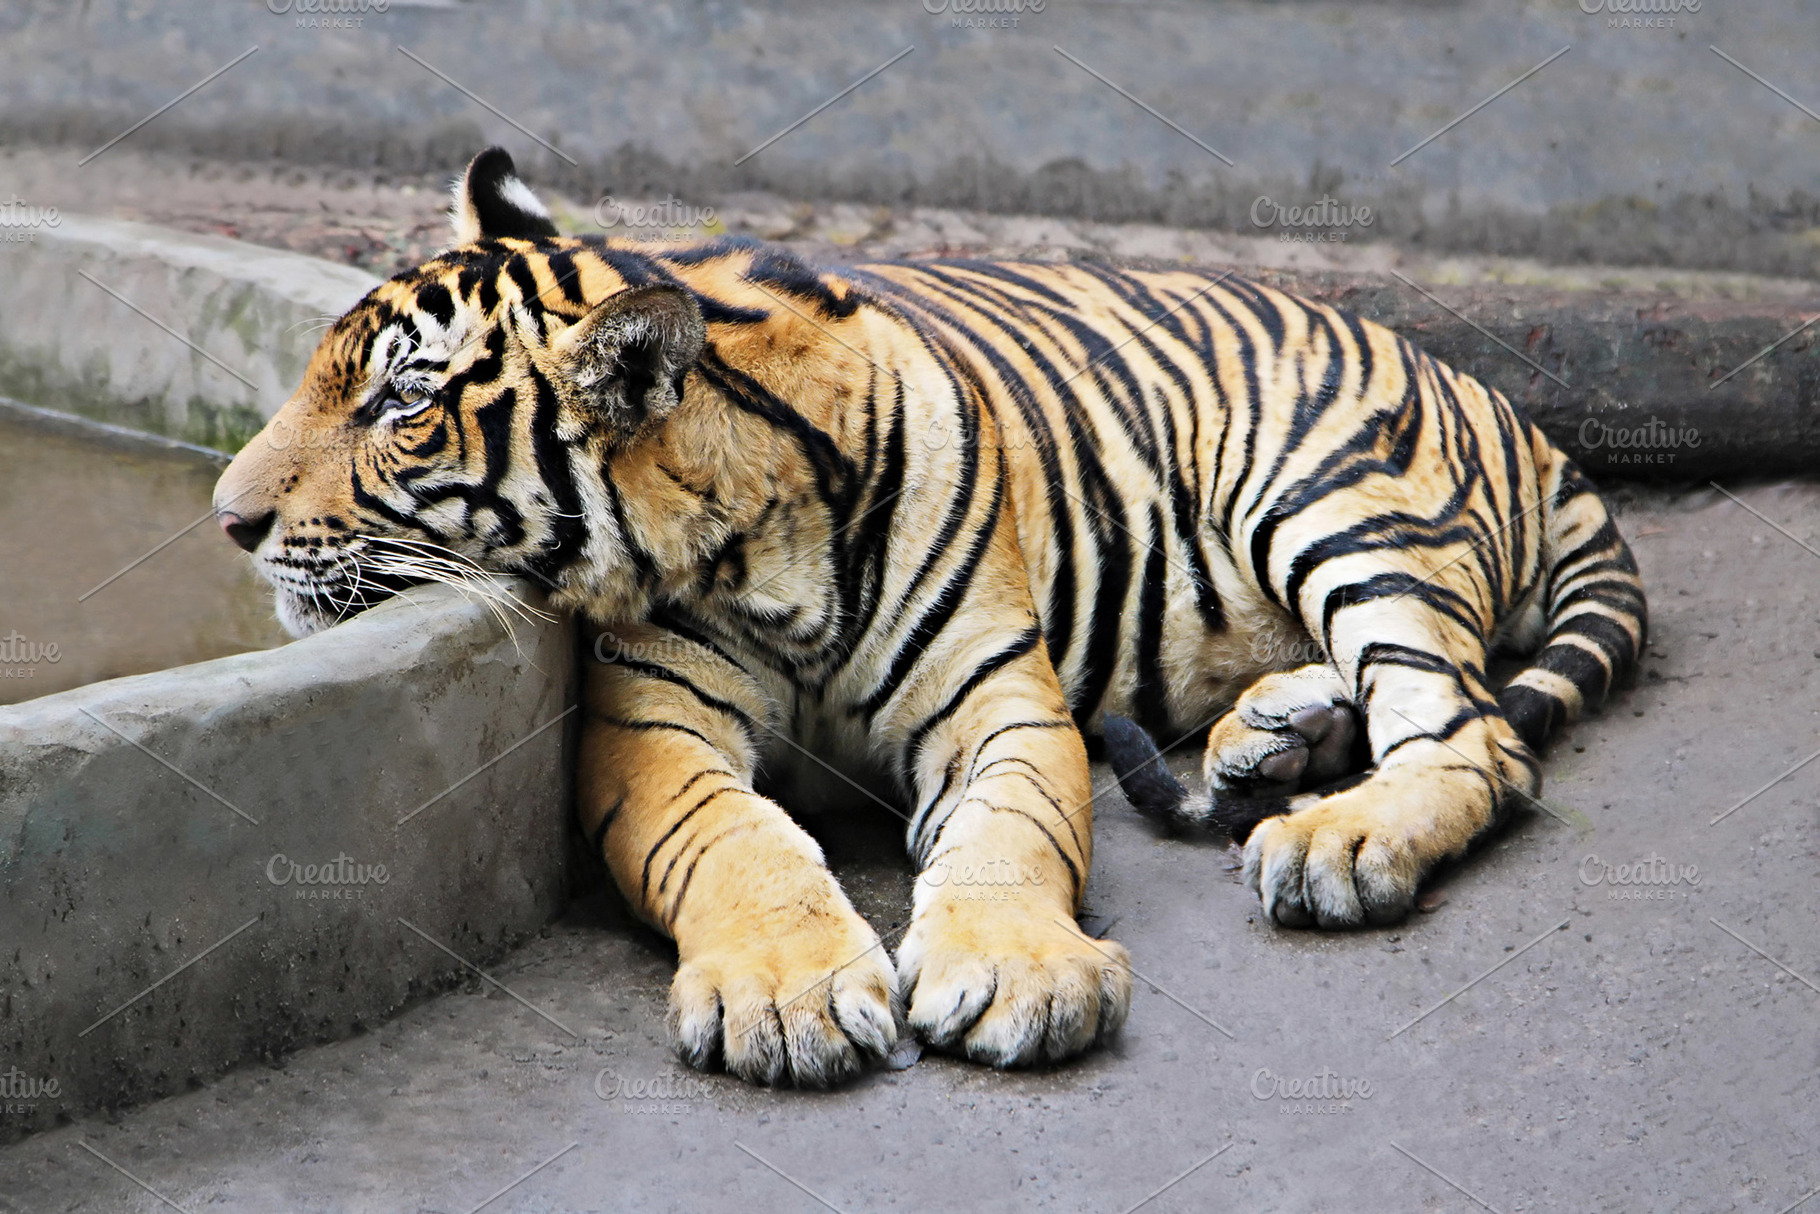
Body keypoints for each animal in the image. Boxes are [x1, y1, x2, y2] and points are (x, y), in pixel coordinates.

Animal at [212, 148, 1646, 1086]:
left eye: (400, 405)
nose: (227, 514)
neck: (762, 535)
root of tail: (1497, 395)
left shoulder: (999, 699)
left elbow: (1010, 834)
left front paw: (1019, 973)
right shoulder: (649, 723)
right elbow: (734, 839)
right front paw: (787, 995)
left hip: (1335, 506)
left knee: (1468, 729)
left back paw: (1337, 839)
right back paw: (1271, 738)